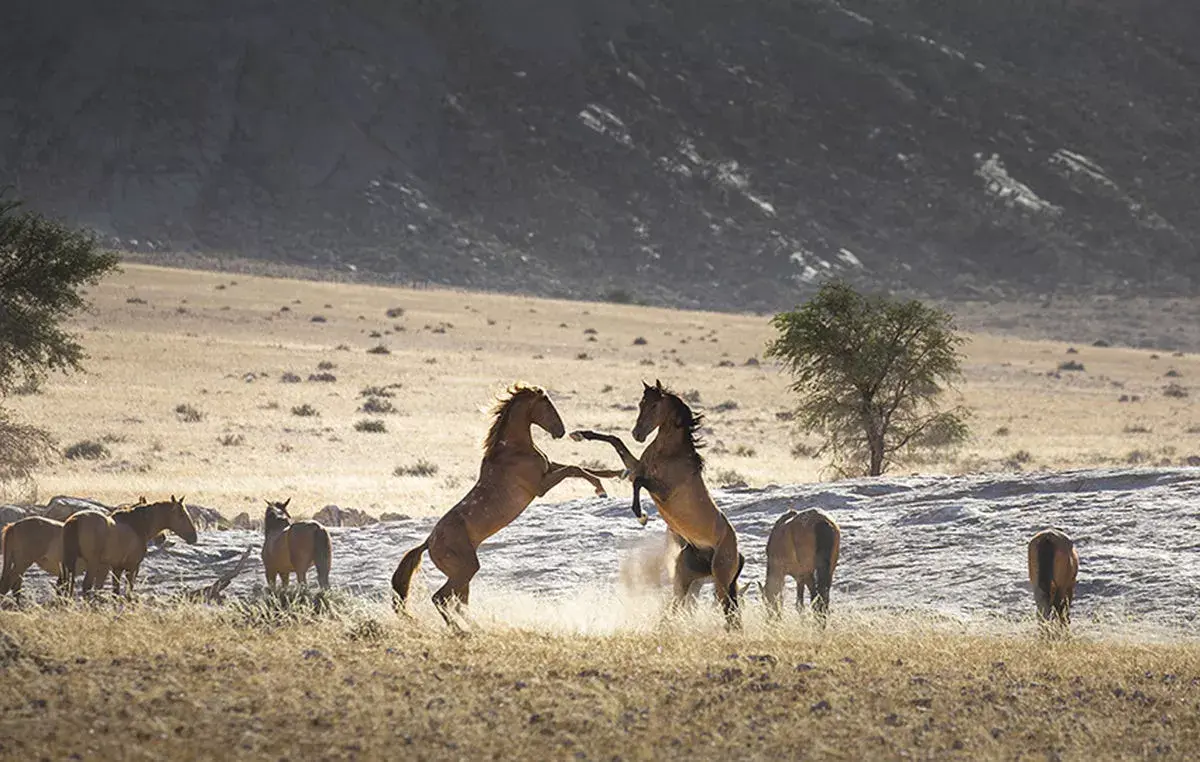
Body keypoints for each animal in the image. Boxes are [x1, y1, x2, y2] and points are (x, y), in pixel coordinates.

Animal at [62, 495, 198, 596]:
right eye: (181, 515)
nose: (194, 537)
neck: (137, 525)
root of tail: (75, 520)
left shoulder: (116, 568)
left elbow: (115, 592)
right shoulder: (132, 567)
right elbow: (128, 591)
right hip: (92, 563)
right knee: (86, 586)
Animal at [391, 383, 623, 629]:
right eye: (547, 404)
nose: (561, 431)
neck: (513, 449)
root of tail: (428, 542)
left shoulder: (549, 468)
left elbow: (581, 467)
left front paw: (618, 474)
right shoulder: (540, 487)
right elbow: (574, 469)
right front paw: (600, 489)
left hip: (464, 574)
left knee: (459, 603)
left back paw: (477, 628)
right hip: (465, 570)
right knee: (441, 598)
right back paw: (460, 631)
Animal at [571, 379, 744, 628]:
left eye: (654, 406)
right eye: (640, 403)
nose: (637, 434)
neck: (670, 454)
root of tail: (738, 552)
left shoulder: (661, 490)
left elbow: (639, 483)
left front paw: (641, 516)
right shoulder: (637, 468)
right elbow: (615, 441)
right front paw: (580, 434)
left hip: (721, 581)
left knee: (730, 614)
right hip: (686, 578)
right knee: (684, 606)